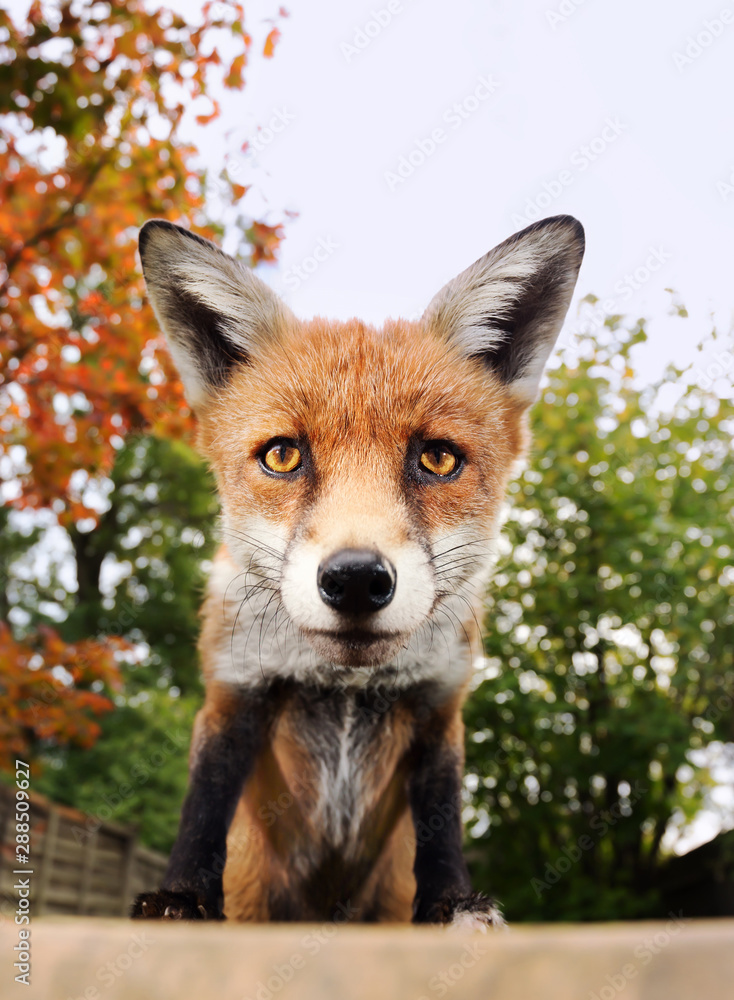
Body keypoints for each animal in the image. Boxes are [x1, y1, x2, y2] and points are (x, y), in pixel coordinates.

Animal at [130, 214, 584, 929]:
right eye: (283, 455)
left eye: (438, 458)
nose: (355, 579)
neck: (344, 682)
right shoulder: (234, 690)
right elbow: (203, 806)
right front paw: (180, 897)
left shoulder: (438, 708)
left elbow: (442, 824)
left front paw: (452, 902)